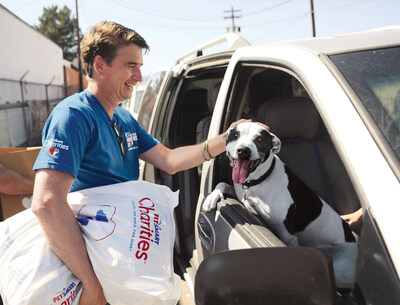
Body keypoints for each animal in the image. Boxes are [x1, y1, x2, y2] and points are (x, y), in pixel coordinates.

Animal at [205, 121, 358, 288]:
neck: (258, 180)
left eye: (259, 139)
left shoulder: (288, 235)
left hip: (341, 270)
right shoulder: (240, 194)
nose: (243, 150)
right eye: (235, 135)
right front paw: (211, 197)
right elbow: (222, 184)